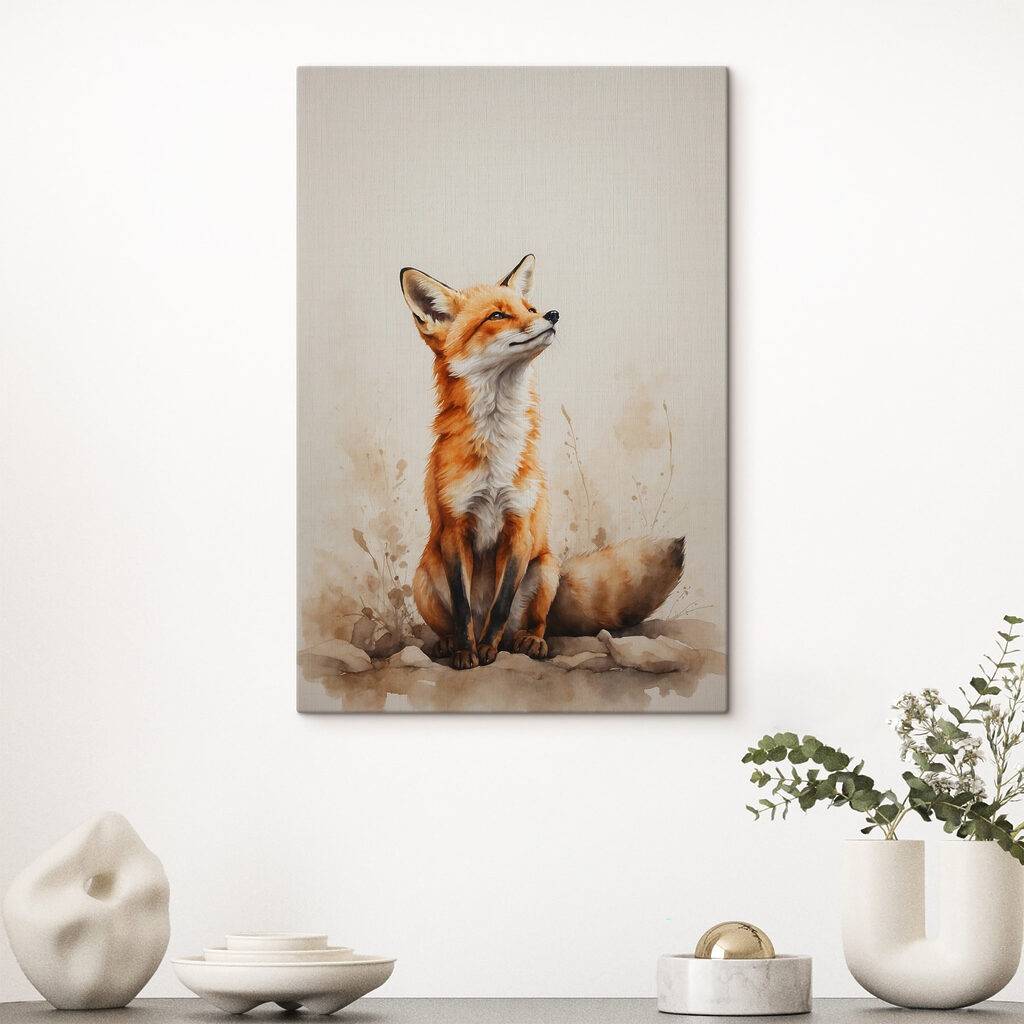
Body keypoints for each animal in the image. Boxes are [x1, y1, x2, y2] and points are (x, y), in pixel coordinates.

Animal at [400, 254, 686, 670]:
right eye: (497, 315)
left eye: (530, 309)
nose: (552, 314)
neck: (495, 447)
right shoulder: (455, 529)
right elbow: (463, 607)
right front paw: (468, 651)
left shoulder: (520, 526)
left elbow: (501, 606)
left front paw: (487, 650)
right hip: (424, 573)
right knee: (451, 621)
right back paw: (450, 643)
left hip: (547, 569)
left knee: (533, 623)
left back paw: (526, 641)